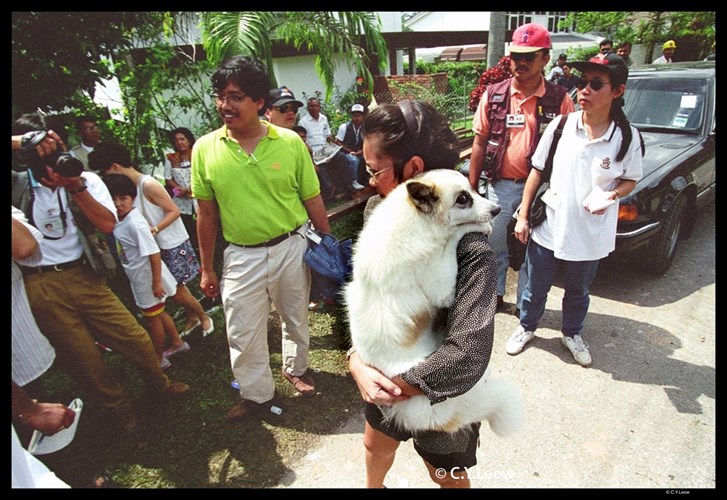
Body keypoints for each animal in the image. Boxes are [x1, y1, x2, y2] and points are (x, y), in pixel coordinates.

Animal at [346, 170, 524, 436]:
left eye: (472, 190)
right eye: (462, 199)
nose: (497, 209)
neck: (416, 220)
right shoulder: (441, 287)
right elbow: (454, 236)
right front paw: (479, 225)